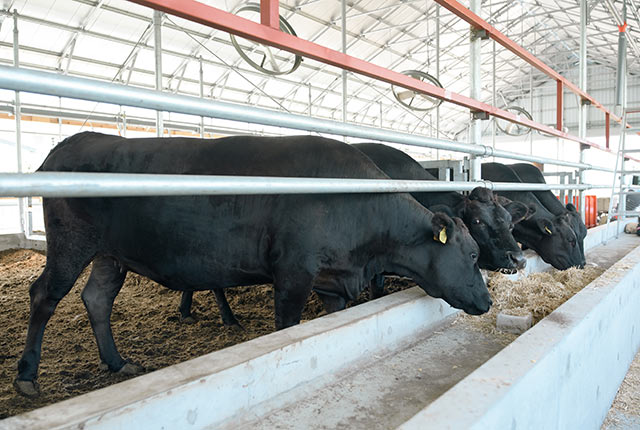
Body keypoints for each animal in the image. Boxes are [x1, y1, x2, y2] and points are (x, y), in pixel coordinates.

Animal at [15, 132, 490, 396]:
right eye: (471, 254)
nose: (486, 301)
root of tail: (74, 141)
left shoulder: (332, 283)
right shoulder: (293, 276)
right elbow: (287, 329)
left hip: (111, 256)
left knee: (97, 298)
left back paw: (117, 362)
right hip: (71, 245)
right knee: (44, 296)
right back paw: (26, 376)